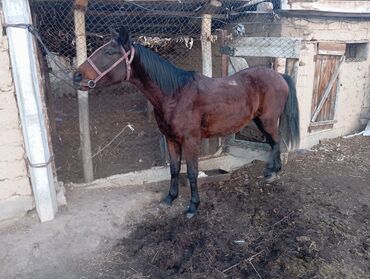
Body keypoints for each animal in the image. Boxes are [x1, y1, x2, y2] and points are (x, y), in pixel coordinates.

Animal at [73, 26, 300, 219]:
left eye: (110, 53)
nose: (76, 76)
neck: (175, 94)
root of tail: (280, 75)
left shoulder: (191, 141)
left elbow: (191, 173)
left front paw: (193, 206)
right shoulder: (171, 139)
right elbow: (174, 170)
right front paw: (169, 198)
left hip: (267, 120)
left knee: (276, 141)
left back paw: (270, 172)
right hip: (262, 121)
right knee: (274, 142)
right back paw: (274, 171)